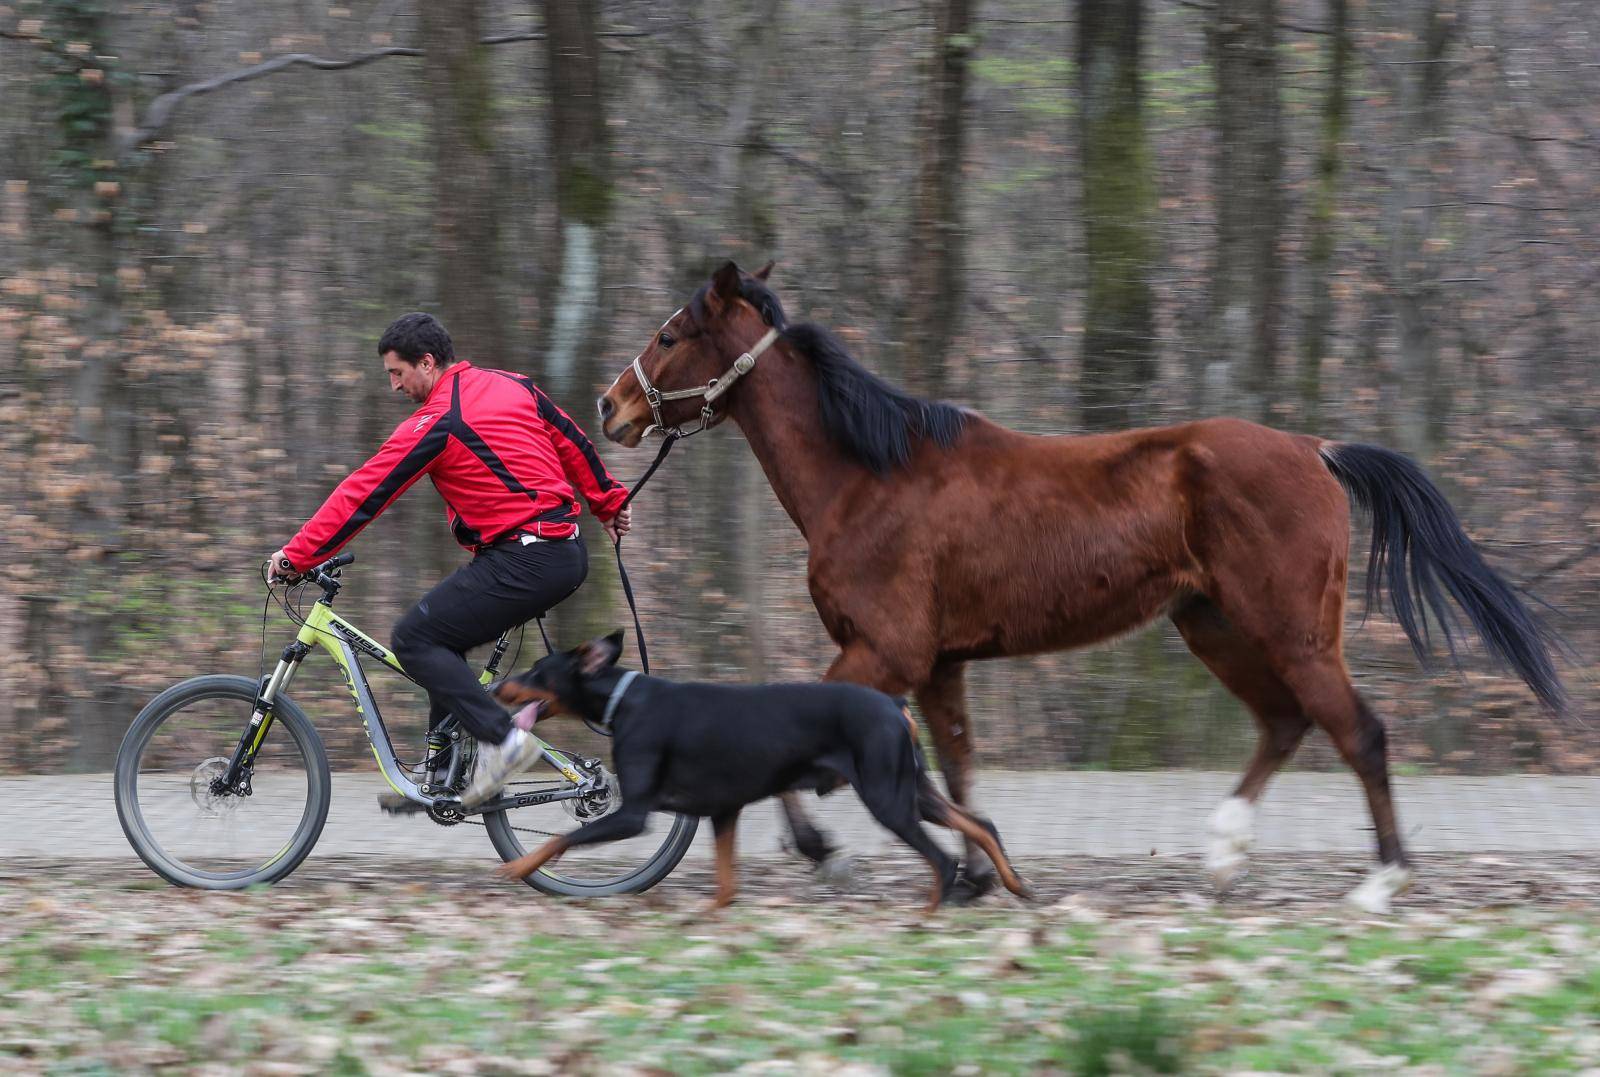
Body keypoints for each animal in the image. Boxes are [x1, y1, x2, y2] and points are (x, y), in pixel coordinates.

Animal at [601, 260, 1561, 908]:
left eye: (671, 334)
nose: (613, 406)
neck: (870, 477)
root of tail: (1316, 449)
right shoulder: (939, 662)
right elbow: (959, 760)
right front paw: (978, 871)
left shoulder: (887, 650)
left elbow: (806, 741)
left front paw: (828, 849)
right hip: (1213, 625)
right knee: (1285, 724)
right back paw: (1222, 857)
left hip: (1288, 628)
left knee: (1358, 731)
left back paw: (1379, 884)